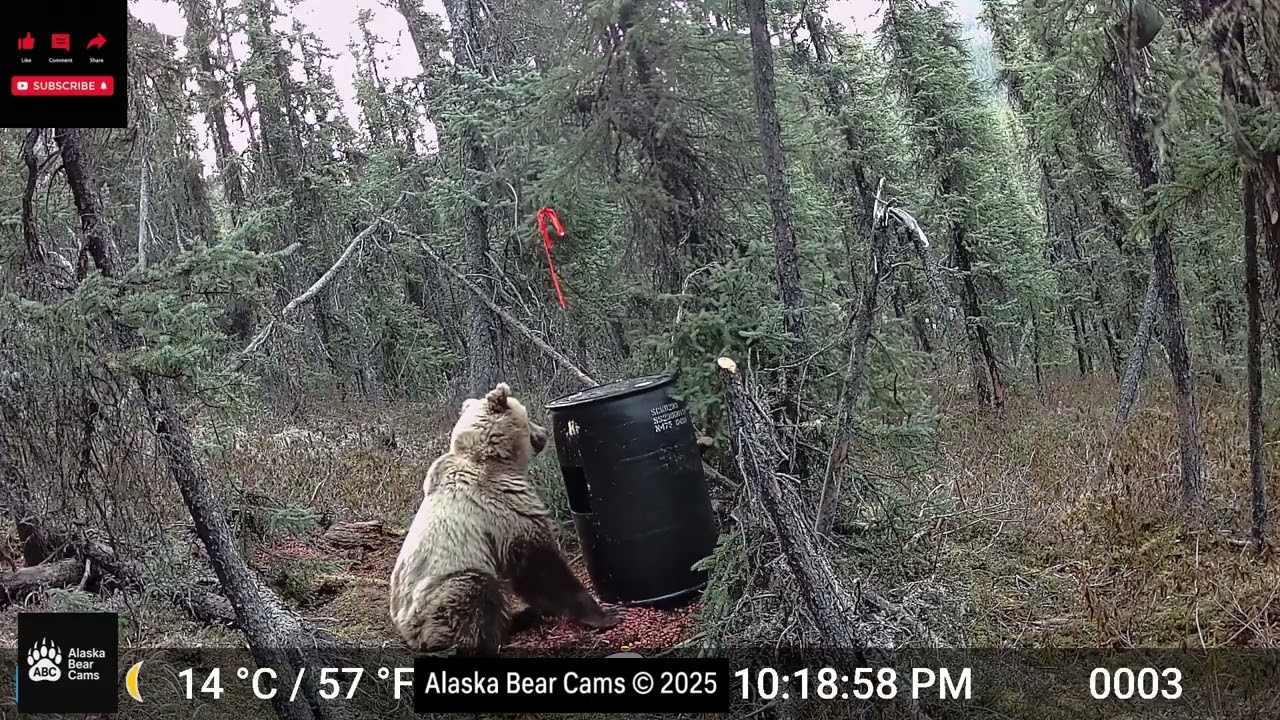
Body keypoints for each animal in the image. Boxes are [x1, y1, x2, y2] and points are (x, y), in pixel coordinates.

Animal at [389, 382, 622, 654]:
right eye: (527, 416)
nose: (543, 432)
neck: (493, 458)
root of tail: (409, 634)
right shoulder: (502, 508)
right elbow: (540, 568)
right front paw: (607, 614)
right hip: (439, 597)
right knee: (477, 592)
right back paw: (495, 635)